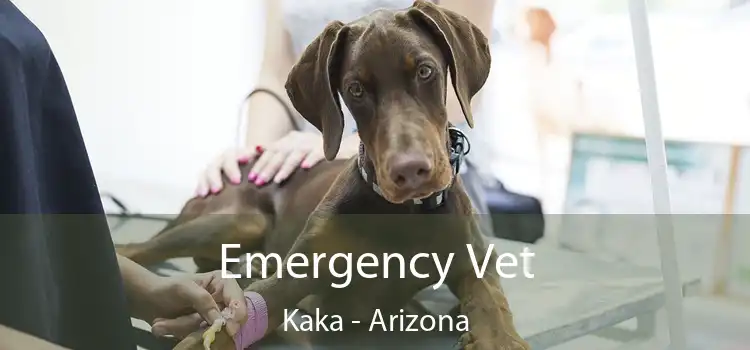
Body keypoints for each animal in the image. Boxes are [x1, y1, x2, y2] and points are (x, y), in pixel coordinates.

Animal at [147, 1, 532, 348]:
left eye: (425, 71)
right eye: (355, 90)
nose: (410, 171)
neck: (401, 213)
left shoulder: (474, 260)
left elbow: (491, 303)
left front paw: (498, 337)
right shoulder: (296, 276)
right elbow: (233, 322)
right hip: (237, 221)